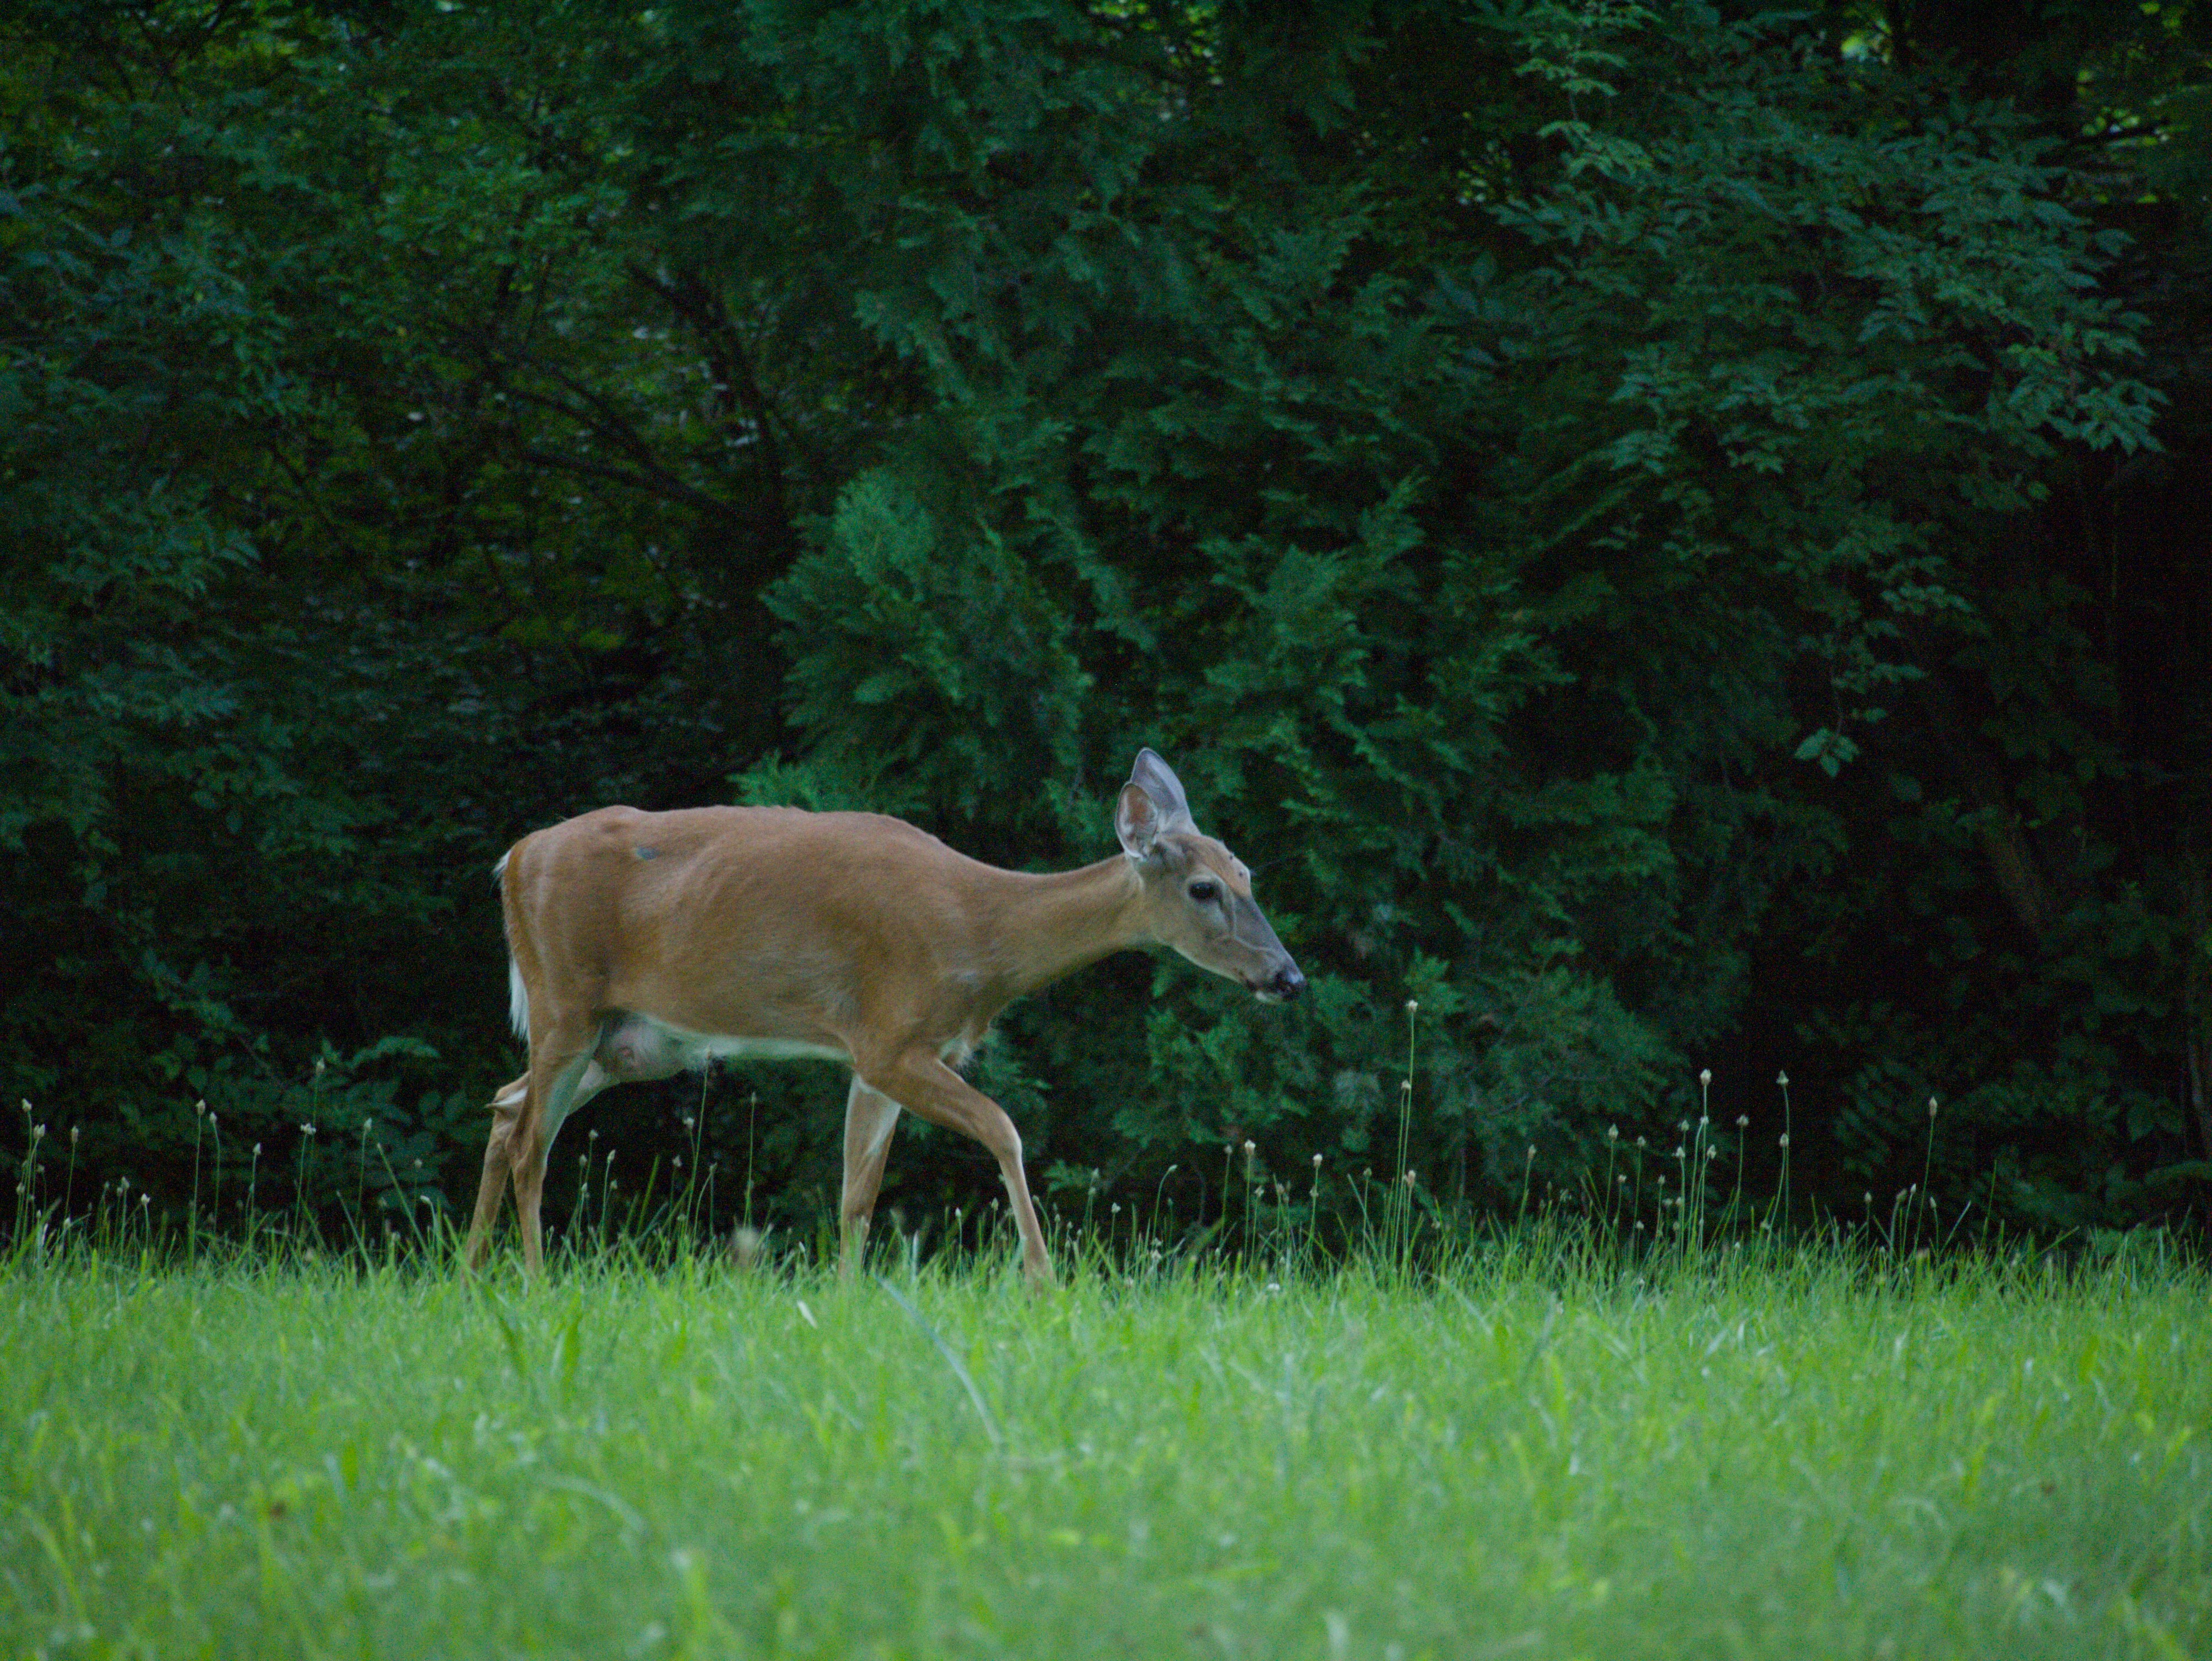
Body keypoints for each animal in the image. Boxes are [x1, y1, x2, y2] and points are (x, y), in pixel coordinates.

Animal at [463, 749, 1304, 1283]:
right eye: (1202, 888)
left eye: (1249, 874)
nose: (1287, 976)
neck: (980, 931)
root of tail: (515, 858)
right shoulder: (891, 1039)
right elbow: (1005, 1128)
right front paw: (1042, 1279)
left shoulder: (874, 1058)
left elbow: (856, 1197)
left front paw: (842, 1304)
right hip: (565, 1001)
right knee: (532, 1139)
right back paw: (534, 1285)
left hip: (631, 1041)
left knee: (505, 1108)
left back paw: (472, 1280)